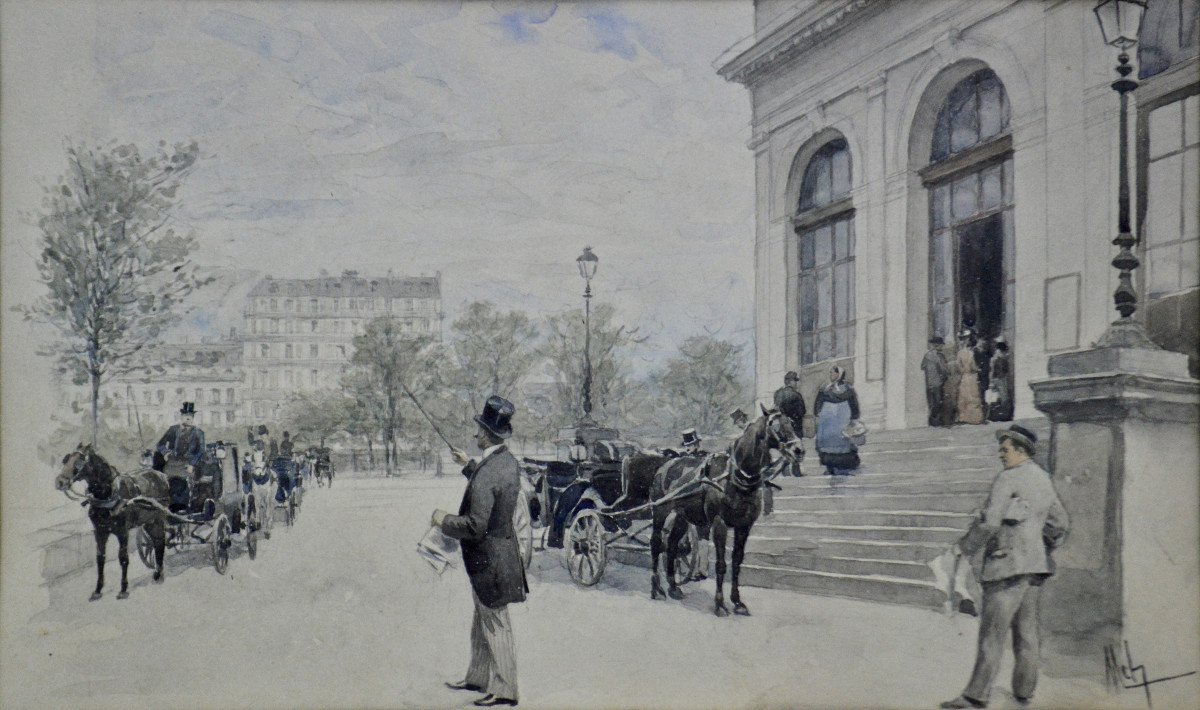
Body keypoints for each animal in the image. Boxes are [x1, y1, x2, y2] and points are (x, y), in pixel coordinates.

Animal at [56, 443, 170, 599]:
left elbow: (123, 558)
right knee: (156, 542)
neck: (108, 495)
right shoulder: (99, 532)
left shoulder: (122, 532)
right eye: (66, 459)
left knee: (160, 542)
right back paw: (158, 572)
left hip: (157, 519)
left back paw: (158, 574)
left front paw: (123, 589)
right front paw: (98, 589)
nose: (59, 482)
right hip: (149, 522)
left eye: (79, 462)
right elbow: (100, 558)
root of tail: (160, 474)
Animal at [648, 410, 806, 614]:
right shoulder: (719, 523)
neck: (735, 478)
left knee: (673, 545)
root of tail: (666, 464)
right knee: (656, 543)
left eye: (792, 423)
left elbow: (737, 562)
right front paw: (720, 603)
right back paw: (656, 588)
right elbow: (721, 564)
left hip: (683, 516)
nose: (799, 450)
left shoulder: (744, 526)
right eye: (774, 425)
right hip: (660, 510)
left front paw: (737, 602)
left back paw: (673, 587)